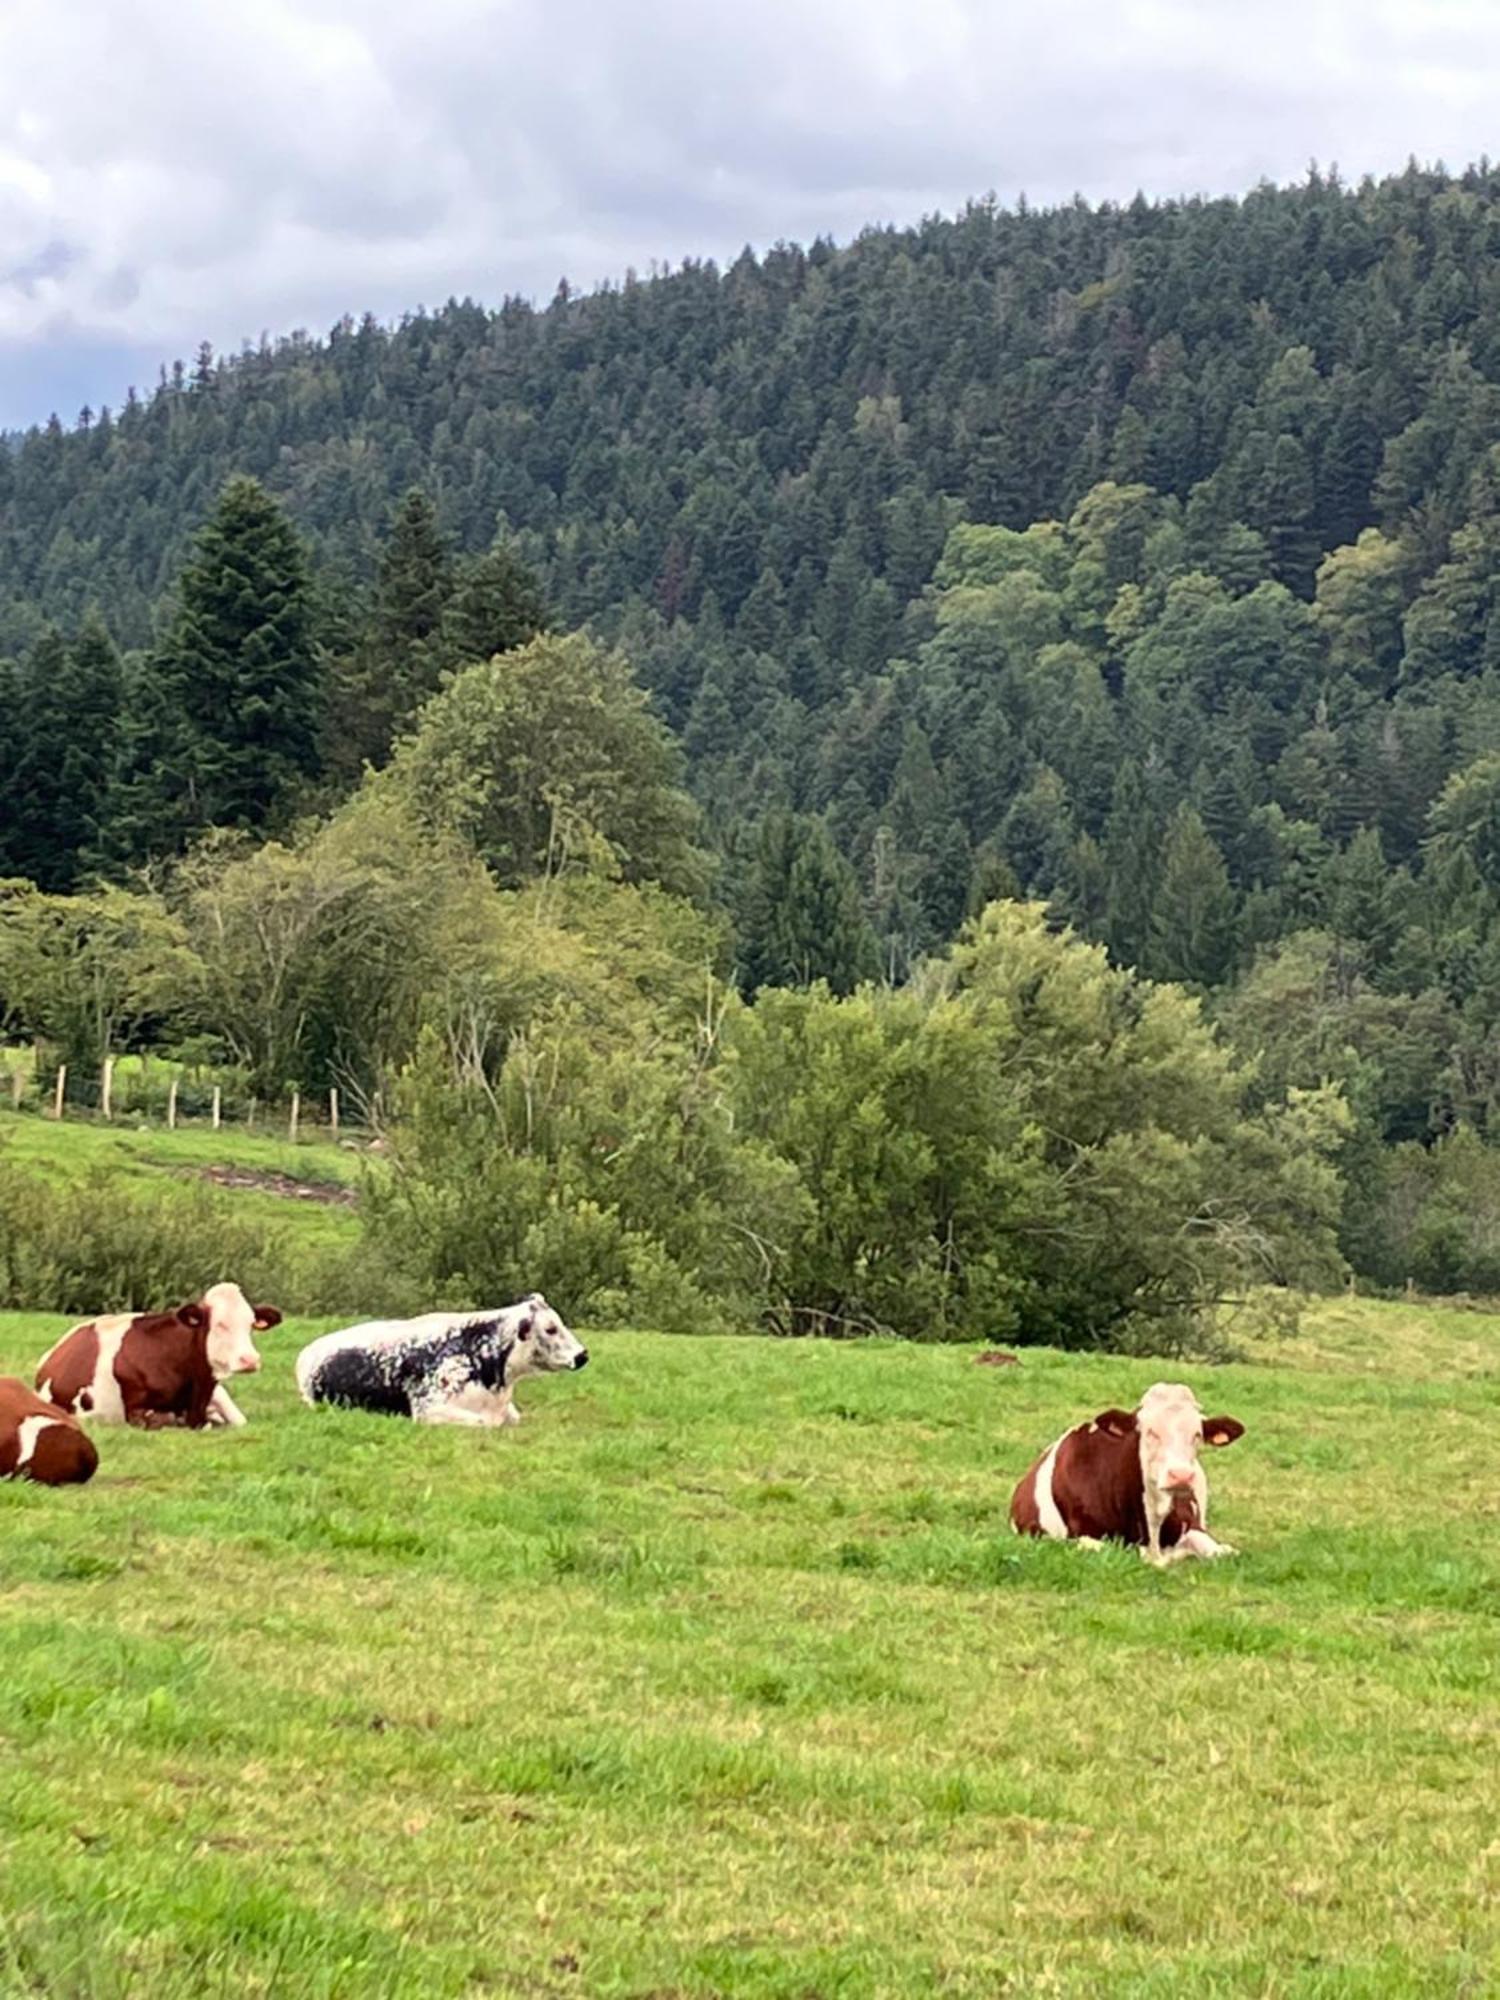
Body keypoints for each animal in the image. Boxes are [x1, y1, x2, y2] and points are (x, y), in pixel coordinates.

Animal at [1016, 1384, 1248, 1568]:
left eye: (1197, 1434)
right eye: (1150, 1431)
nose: (1181, 1476)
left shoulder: (1194, 1527)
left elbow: (1224, 1551)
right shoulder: (1082, 1536)